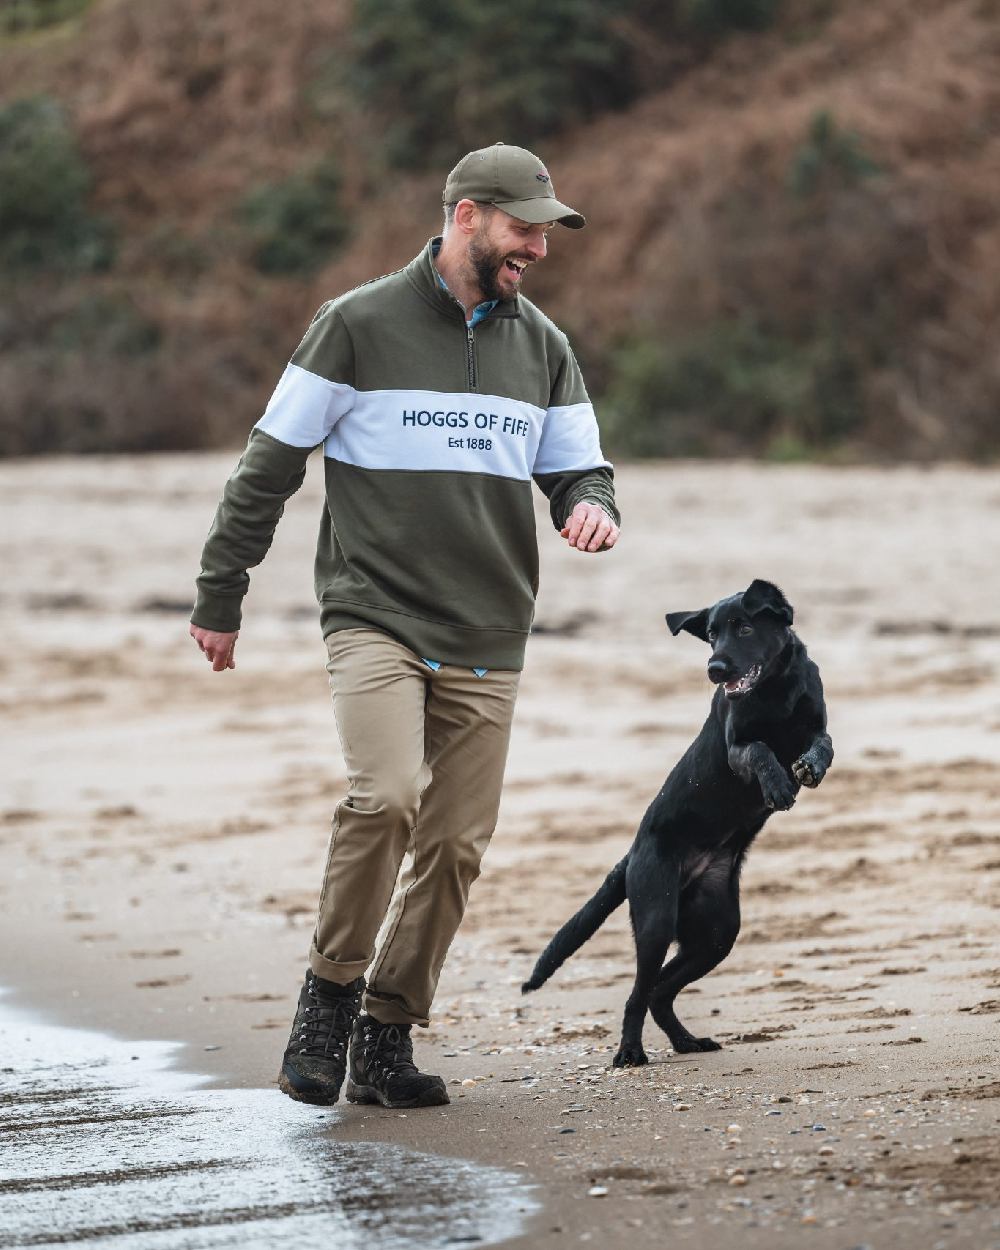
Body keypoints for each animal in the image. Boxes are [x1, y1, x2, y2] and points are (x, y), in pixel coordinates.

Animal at [520, 580, 830, 1070]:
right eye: (711, 634)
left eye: (744, 628)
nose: (715, 668)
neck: (775, 688)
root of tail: (632, 854)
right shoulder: (736, 748)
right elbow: (760, 749)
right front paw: (779, 785)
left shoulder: (816, 725)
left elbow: (823, 745)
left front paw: (808, 769)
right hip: (657, 917)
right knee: (638, 993)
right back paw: (630, 1052)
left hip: (716, 931)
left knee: (660, 991)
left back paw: (686, 1041)